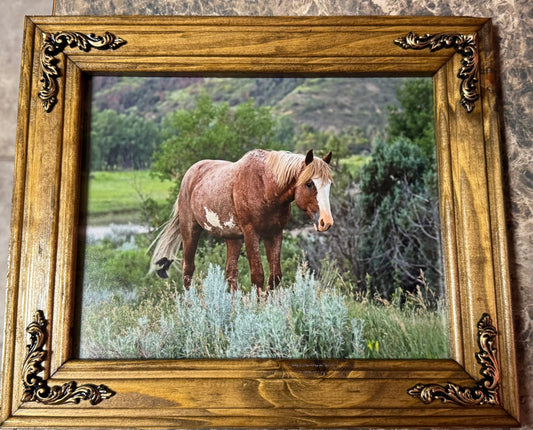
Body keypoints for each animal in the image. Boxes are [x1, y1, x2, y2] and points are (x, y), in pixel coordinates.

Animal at [150, 149, 332, 294]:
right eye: (309, 183)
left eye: (329, 184)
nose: (326, 222)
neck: (265, 186)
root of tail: (190, 174)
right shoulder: (251, 234)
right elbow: (258, 275)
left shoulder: (274, 234)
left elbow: (275, 276)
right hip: (190, 231)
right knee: (188, 269)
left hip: (233, 238)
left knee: (231, 272)